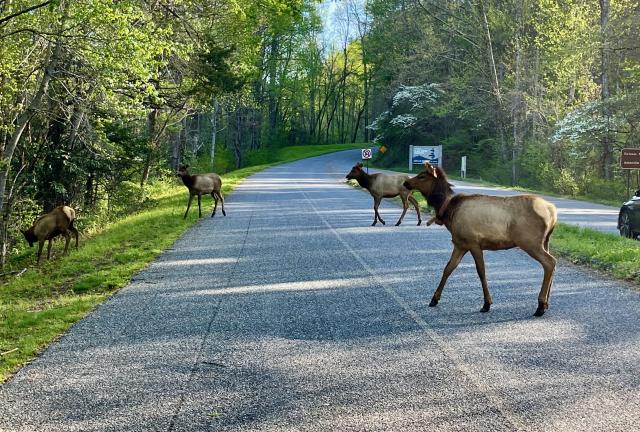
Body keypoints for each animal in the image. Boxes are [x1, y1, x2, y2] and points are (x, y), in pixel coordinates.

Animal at [403, 162, 557, 317]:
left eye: (422, 176)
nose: (406, 183)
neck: (448, 212)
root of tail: (553, 212)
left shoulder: (473, 243)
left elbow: (481, 272)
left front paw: (486, 303)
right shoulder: (460, 244)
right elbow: (448, 268)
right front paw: (434, 299)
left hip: (529, 241)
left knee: (549, 262)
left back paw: (540, 306)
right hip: (545, 241)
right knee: (551, 264)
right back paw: (546, 303)